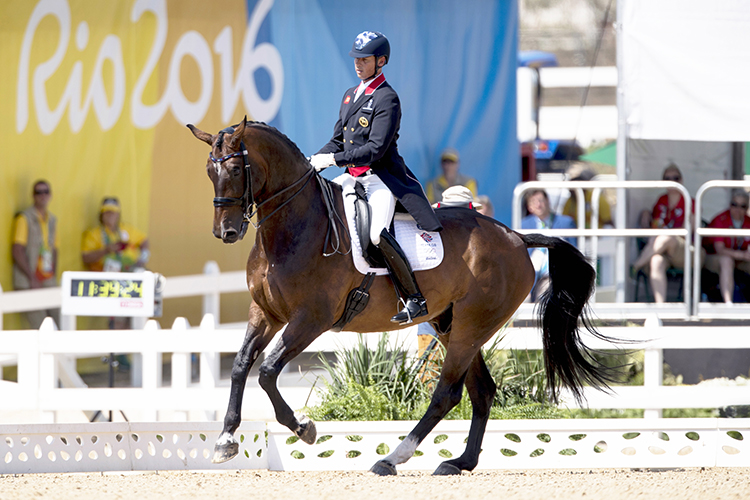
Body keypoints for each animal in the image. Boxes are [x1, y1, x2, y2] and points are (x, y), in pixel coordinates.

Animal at [188, 117, 616, 476]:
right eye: (209, 171)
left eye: (235, 169)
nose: (226, 232)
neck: (295, 227)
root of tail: (515, 236)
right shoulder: (265, 312)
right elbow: (241, 365)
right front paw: (225, 441)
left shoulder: (311, 318)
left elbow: (268, 370)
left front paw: (304, 428)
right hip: (452, 324)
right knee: (481, 391)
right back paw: (459, 462)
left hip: (470, 327)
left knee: (447, 393)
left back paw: (393, 458)